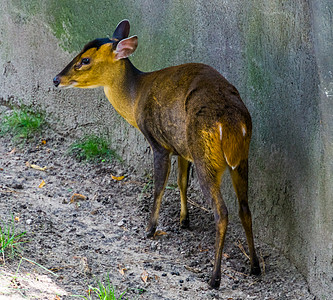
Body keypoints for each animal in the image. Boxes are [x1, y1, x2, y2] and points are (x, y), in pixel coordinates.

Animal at [53, 18, 260, 288]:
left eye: (85, 59)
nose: (56, 79)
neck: (135, 96)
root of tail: (231, 122)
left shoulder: (159, 144)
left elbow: (159, 186)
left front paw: (149, 228)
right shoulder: (181, 148)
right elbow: (181, 182)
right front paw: (184, 221)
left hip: (206, 157)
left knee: (222, 212)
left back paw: (215, 278)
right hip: (240, 158)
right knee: (244, 208)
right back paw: (255, 266)